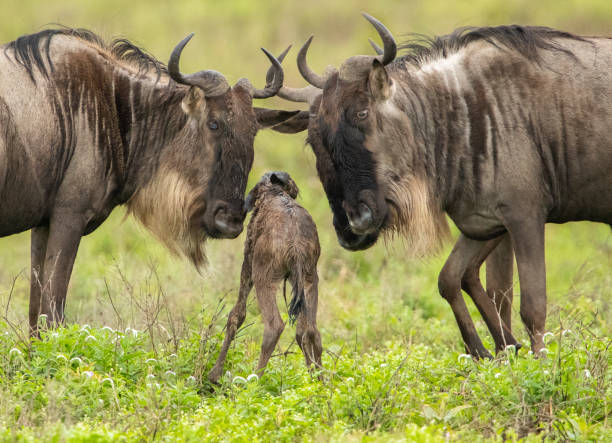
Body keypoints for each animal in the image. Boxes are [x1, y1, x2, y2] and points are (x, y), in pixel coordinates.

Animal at [208, 172, 322, 384]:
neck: (272, 192)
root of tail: (296, 245)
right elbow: (302, 332)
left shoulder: (248, 263)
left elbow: (236, 314)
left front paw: (214, 375)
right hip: (310, 278)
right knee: (311, 330)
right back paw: (320, 383)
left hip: (264, 277)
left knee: (274, 326)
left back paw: (254, 381)